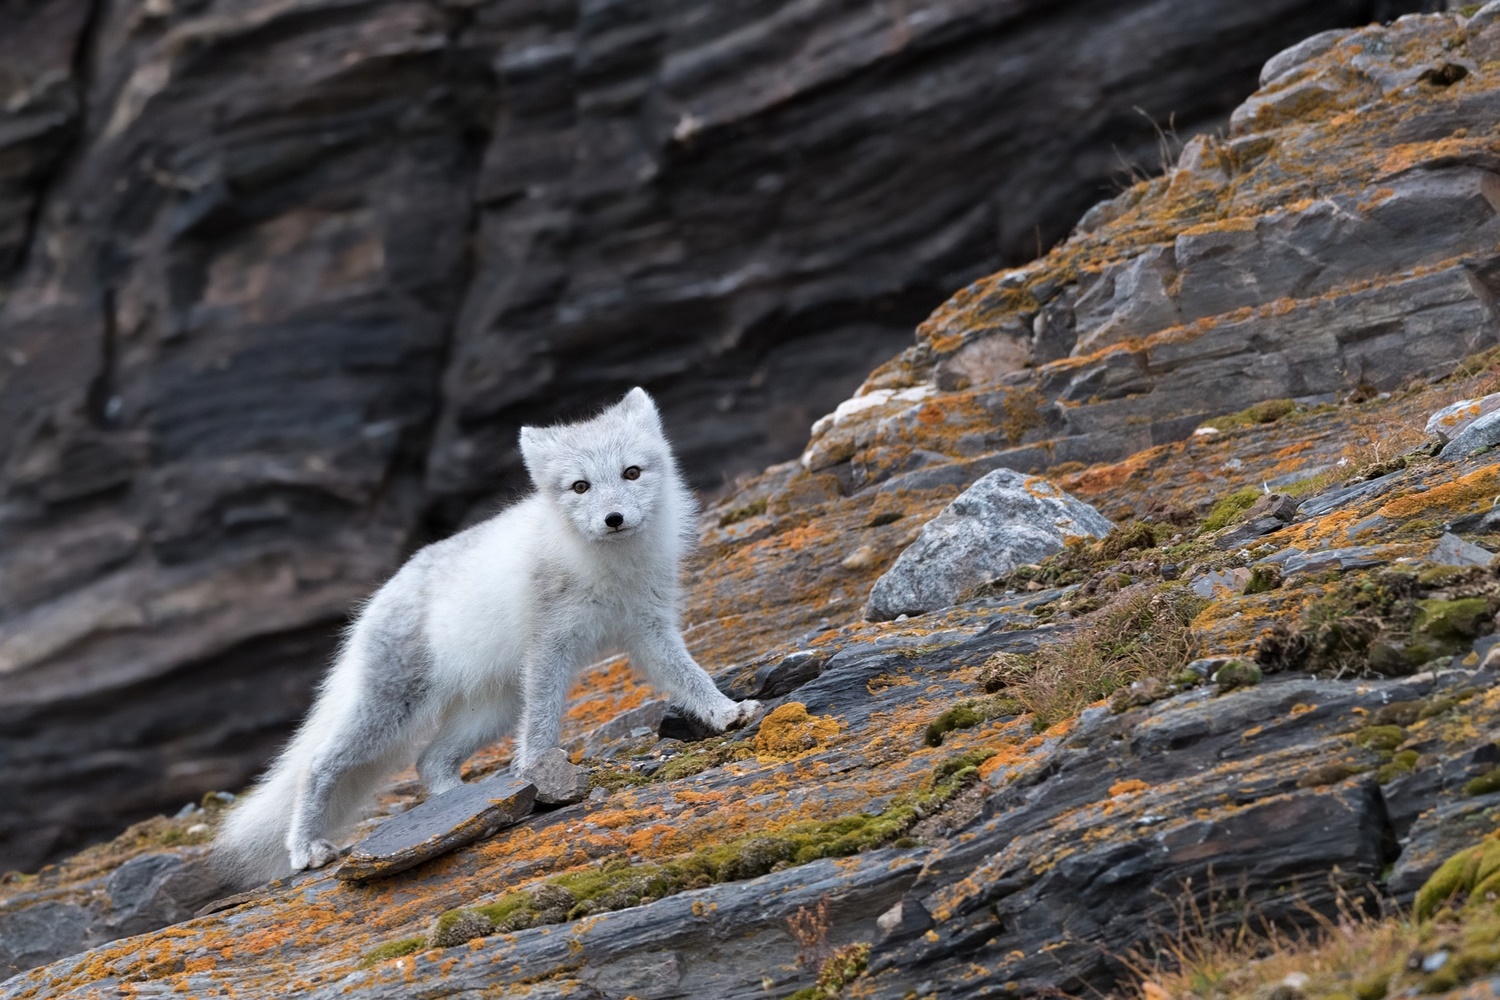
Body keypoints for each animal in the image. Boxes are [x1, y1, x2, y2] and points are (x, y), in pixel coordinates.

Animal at [214, 389, 762, 881]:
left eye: (632, 473)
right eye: (580, 487)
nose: (614, 519)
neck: (610, 568)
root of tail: (376, 602)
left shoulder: (649, 630)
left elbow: (690, 677)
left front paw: (725, 712)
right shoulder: (549, 647)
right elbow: (542, 722)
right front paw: (539, 768)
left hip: (491, 708)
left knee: (428, 762)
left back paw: (460, 807)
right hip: (393, 708)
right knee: (320, 764)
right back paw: (305, 847)